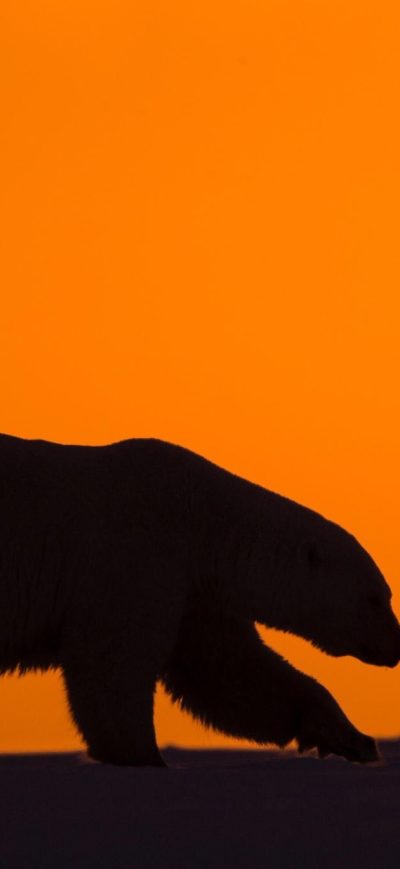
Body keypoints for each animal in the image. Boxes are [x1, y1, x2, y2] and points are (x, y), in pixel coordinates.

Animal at [1, 432, 399, 767]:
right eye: (375, 599)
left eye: (386, 594)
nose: (394, 647)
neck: (201, 520)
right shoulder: (134, 558)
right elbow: (111, 662)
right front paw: (145, 757)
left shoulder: (194, 595)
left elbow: (229, 671)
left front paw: (353, 738)